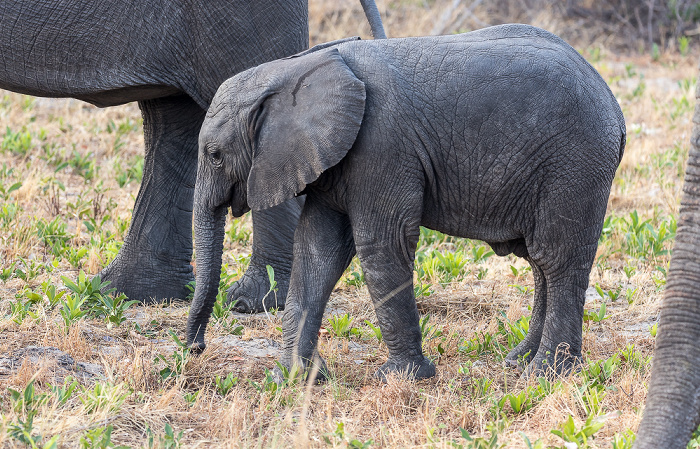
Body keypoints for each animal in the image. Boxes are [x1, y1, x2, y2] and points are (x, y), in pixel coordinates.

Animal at [186, 24, 624, 380]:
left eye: (214, 155)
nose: (195, 348)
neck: (297, 70)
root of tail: (612, 102)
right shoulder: (333, 160)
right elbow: (316, 251)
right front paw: (294, 378)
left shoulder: (381, 147)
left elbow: (381, 245)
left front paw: (402, 378)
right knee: (539, 263)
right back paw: (518, 362)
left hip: (575, 163)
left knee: (557, 258)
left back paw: (547, 374)